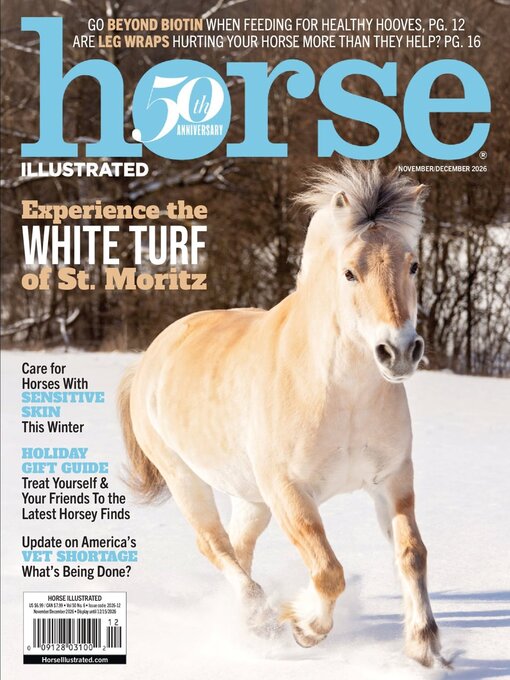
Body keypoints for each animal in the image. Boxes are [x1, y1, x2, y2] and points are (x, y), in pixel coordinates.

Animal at [118, 161, 448, 668]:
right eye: (349, 272)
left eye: (412, 265)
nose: (399, 352)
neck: (343, 394)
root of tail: (151, 356)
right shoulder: (290, 491)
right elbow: (328, 569)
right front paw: (305, 628)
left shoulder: (393, 480)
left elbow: (412, 554)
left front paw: (425, 645)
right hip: (186, 479)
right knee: (214, 545)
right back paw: (260, 620)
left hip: (250, 499)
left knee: (238, 547)